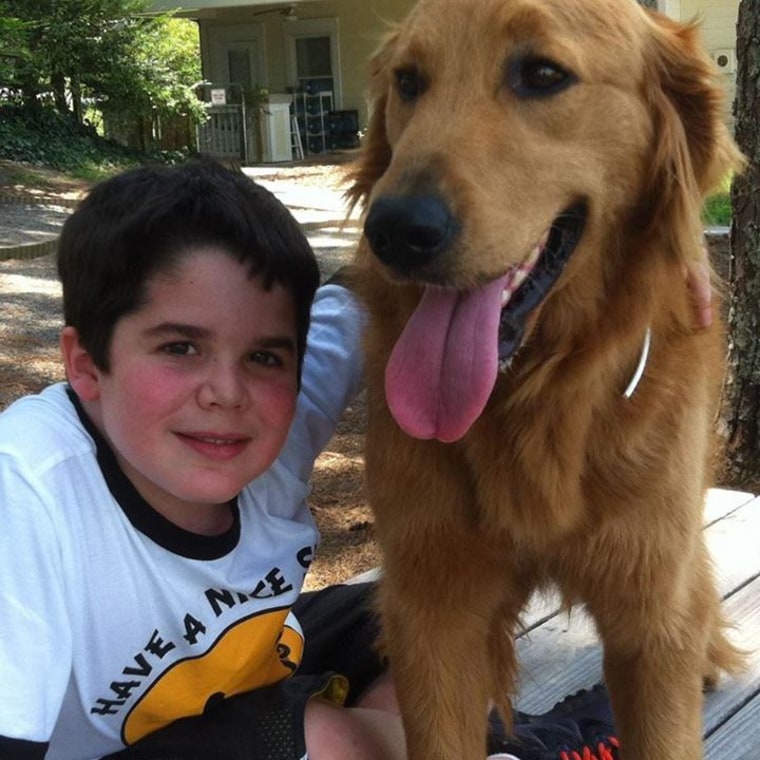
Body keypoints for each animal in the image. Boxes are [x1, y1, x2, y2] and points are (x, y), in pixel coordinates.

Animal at [348, 0, 744, 756]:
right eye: (409, 82)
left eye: (542, 74)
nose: (395, 231)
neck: (537, 396)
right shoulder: (433, 610)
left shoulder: (650, 619)